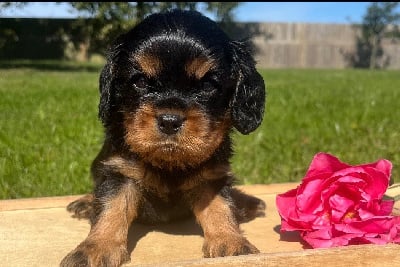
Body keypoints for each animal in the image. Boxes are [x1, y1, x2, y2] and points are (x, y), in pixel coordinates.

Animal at [61, 9, 266, 266]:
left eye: (207, 85)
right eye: (140, 81)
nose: (169, 120)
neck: (169, 162)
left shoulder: (212, 175)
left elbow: (220, 206)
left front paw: (231, 242)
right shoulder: (120, 169)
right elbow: (111, 207)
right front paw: (95, 248)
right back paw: (86, 202)